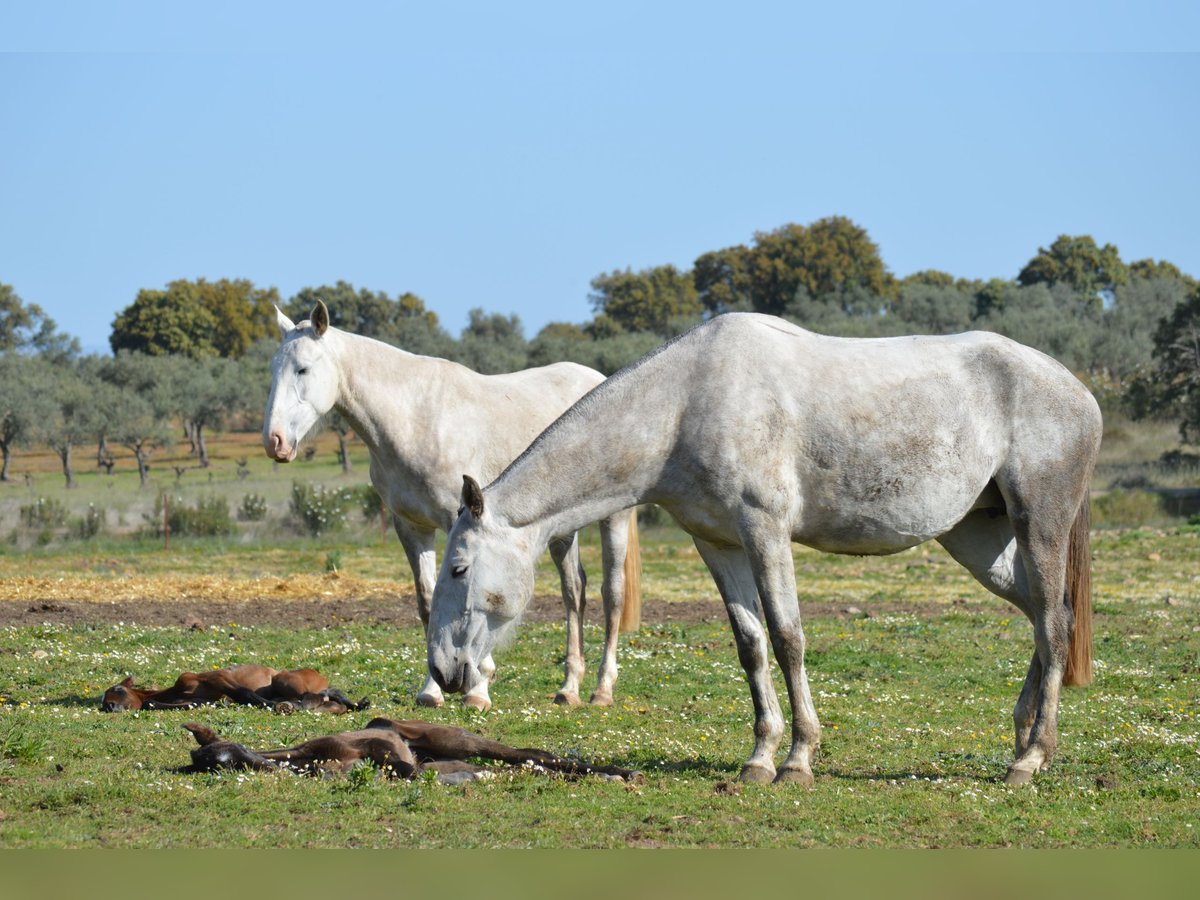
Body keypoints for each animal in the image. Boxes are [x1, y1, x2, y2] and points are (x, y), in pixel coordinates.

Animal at [261, 303, 638, 710]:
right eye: (273, 369)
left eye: (303, 369)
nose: (274, 442)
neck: (415, 419)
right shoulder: (411, 527)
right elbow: (430, 603)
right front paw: (431, 690)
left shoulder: (462, 522)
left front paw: (478, 689)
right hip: (561, 528)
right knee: (574, 591)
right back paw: (569, 688)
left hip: (614, 518)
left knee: (611, 594)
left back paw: (602, 689)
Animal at [427, 314, 1099, 787]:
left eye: (459, 568)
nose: (443, 672)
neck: (684, 405)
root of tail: (1079, 391)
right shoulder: (719, 543)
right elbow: (750, 644)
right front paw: (760, 757)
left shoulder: (765, 531)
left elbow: (787, 637)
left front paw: (799, 759)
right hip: (978, 538)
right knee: (1043, 616)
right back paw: (1022, 739)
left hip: (1038, 522)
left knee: (1053, 621)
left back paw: (1031, 760)